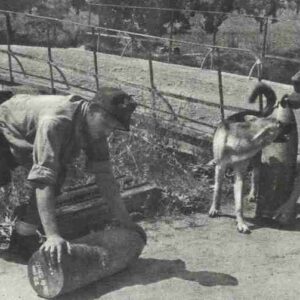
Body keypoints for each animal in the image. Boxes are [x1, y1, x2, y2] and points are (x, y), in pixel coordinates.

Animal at [209, 83, 282, 233]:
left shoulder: (239, 174)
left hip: (256, 161)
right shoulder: (220, 167)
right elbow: (217, 190)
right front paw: (214, 208)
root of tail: (256, 113)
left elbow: (239, 204)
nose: (283, 124)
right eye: (279, 125)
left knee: (256, 176)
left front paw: (241, 223)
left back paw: (253, 194)